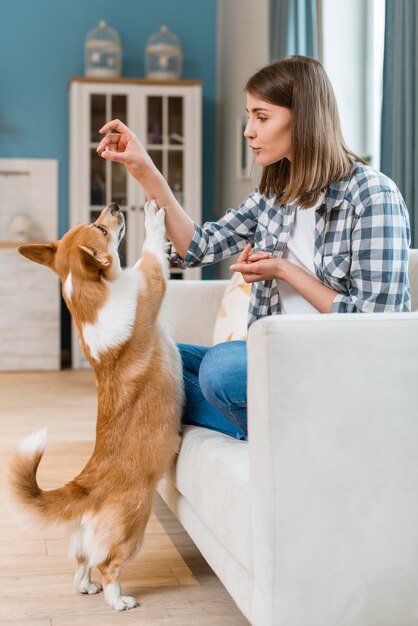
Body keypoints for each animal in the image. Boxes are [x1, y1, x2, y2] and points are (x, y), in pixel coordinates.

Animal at [8, 201, 184, 608]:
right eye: (101, 229)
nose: (115, 205)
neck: (92, 294)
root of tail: (86, 486)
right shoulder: (151, 282)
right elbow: (150, 252)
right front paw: (154, 219)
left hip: (87, 540)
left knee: (82, 561)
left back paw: (87, 587)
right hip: (134, 528)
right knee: (108, 565)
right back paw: (118, 601)